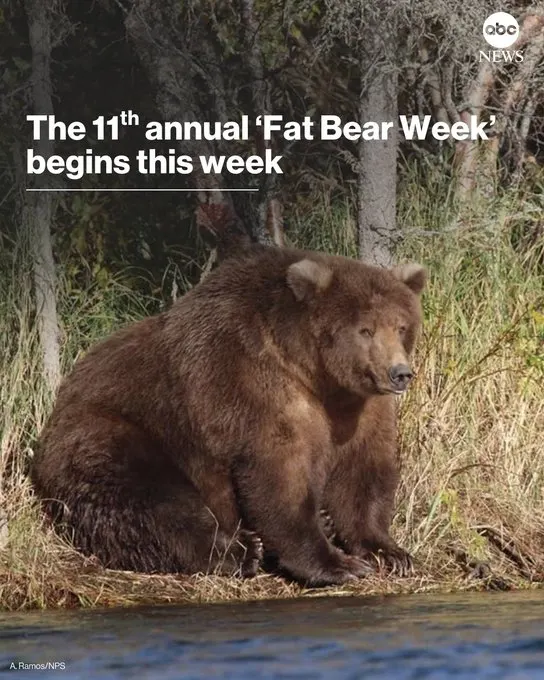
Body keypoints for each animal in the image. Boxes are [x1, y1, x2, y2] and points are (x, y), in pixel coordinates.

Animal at [31, 246, 425, 586]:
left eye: (401, 326)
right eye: (365, 329)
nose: (399, 373)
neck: (315, 374)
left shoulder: (358, 407)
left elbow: (363, 471)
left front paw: (389, 552)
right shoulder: (252, 384)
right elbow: (280, 474)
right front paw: (337, 563)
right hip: (116, 434)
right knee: (152, 501)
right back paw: (242, 550)